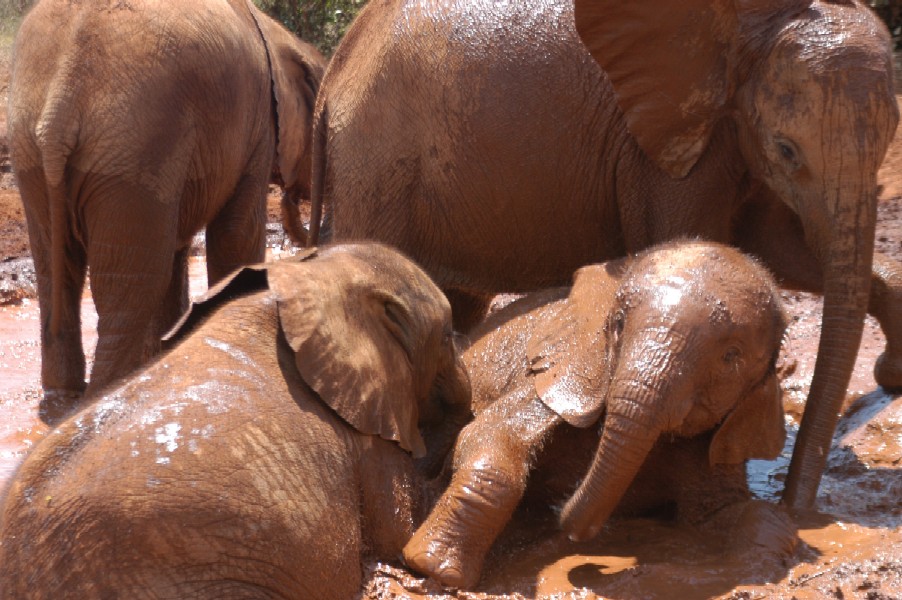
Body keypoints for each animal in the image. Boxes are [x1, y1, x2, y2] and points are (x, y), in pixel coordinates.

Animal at [8, 0, 326, 424]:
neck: (280, 35)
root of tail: (60, 104)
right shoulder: (255, 127)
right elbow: (234, 237)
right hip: (137, 150)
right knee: (131, 291)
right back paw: (109, 395)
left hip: (37, 153)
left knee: (57, 275)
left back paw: (63, 400)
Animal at [308, 0, 902, 506]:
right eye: (786, 149)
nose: (793, 505)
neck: (754, 20)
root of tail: (333, 74)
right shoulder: (665, 147)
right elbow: (702, 244)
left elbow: (782, 251)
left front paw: (891, 375)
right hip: (377, 161)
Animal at [404, 241, 800, 588]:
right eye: (619, 323)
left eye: (731, 357)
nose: (562, 518)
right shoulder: (566, 370)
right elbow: (489, 435)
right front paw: (433, 568)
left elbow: (727, 513)